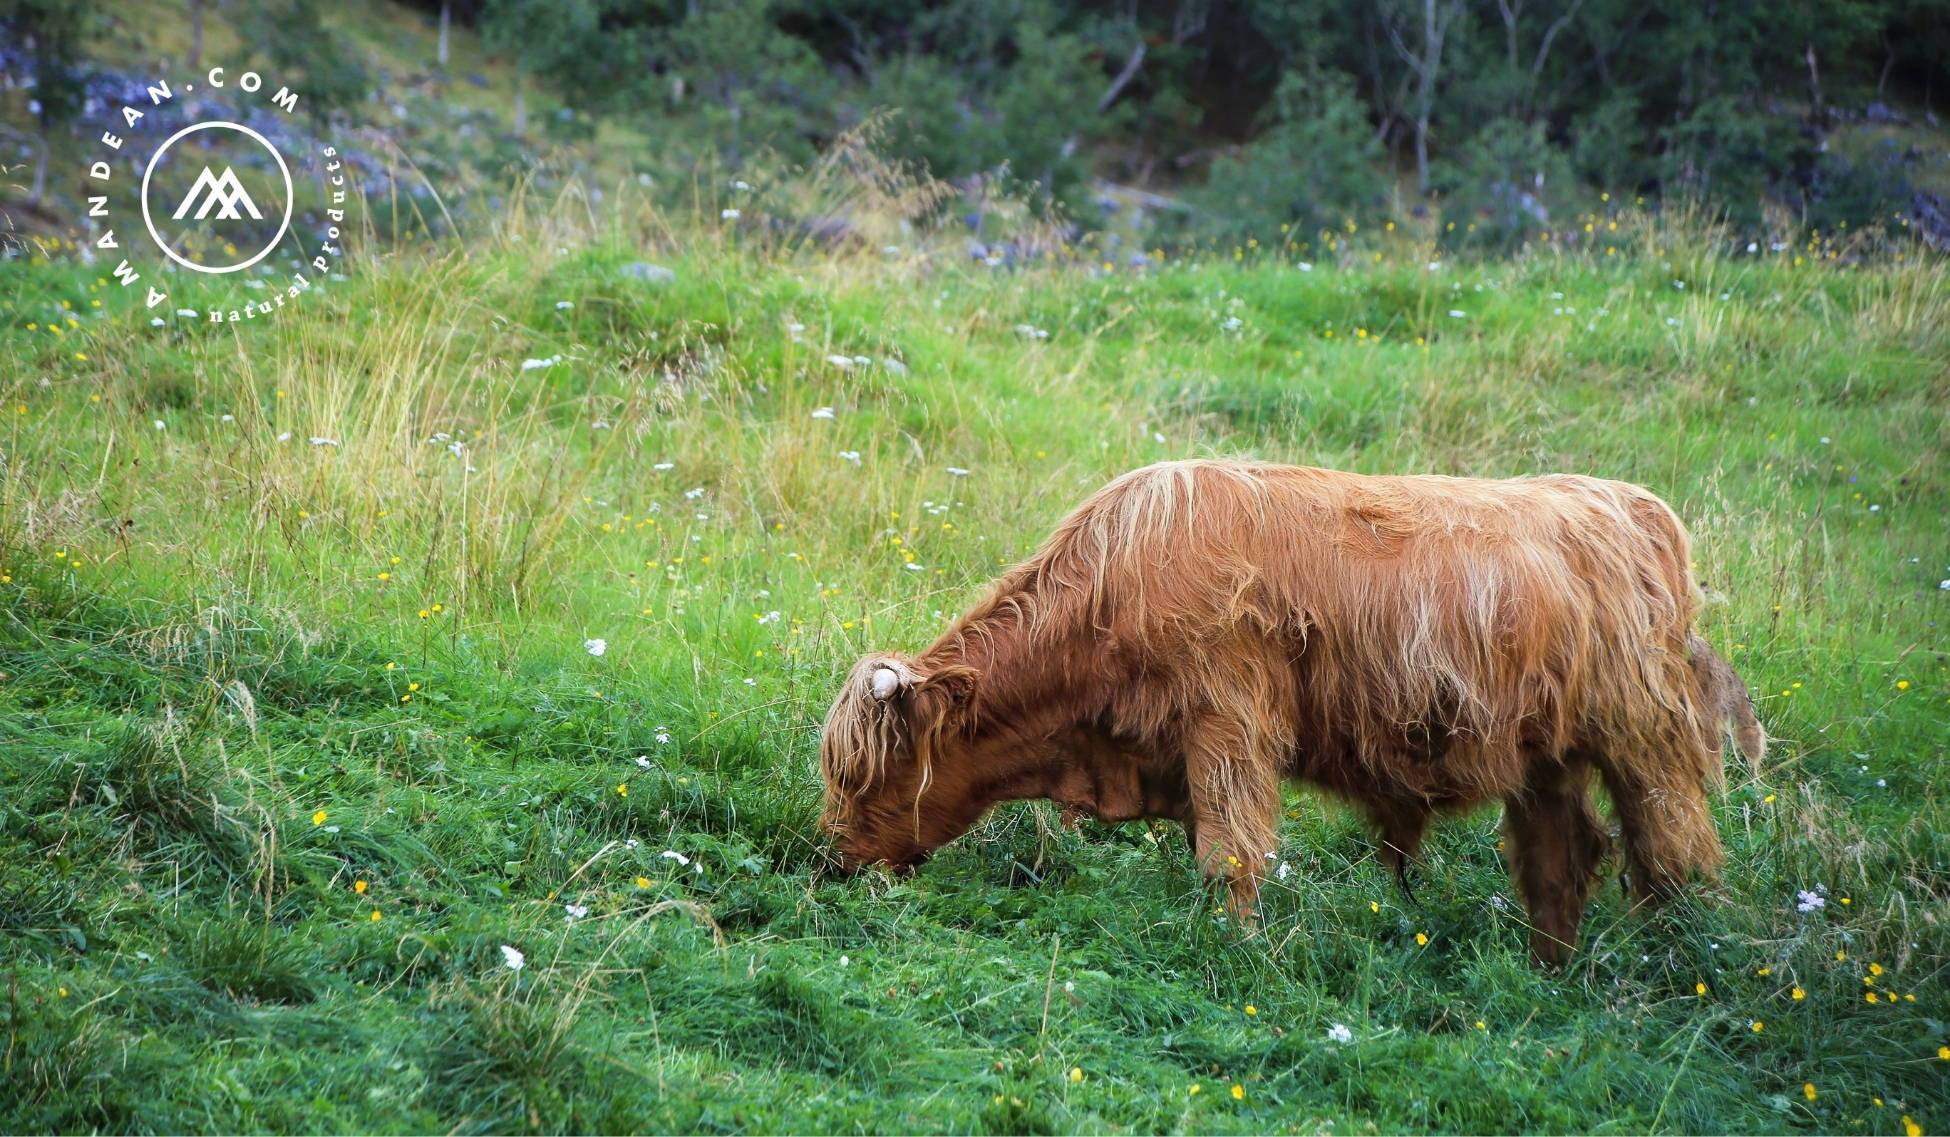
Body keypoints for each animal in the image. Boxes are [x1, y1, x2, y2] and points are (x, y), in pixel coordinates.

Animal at [815, 458, 1762, 967]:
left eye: (869, 771)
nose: (833, 858)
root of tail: (1637, 505)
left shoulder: (1227, 722)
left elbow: (1230, 854)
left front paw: (1235, 950)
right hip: (1546, 759)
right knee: (1561, 859)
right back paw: (1547, 975)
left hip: (1646, 739)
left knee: (1675, 851)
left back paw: (1685, 963)